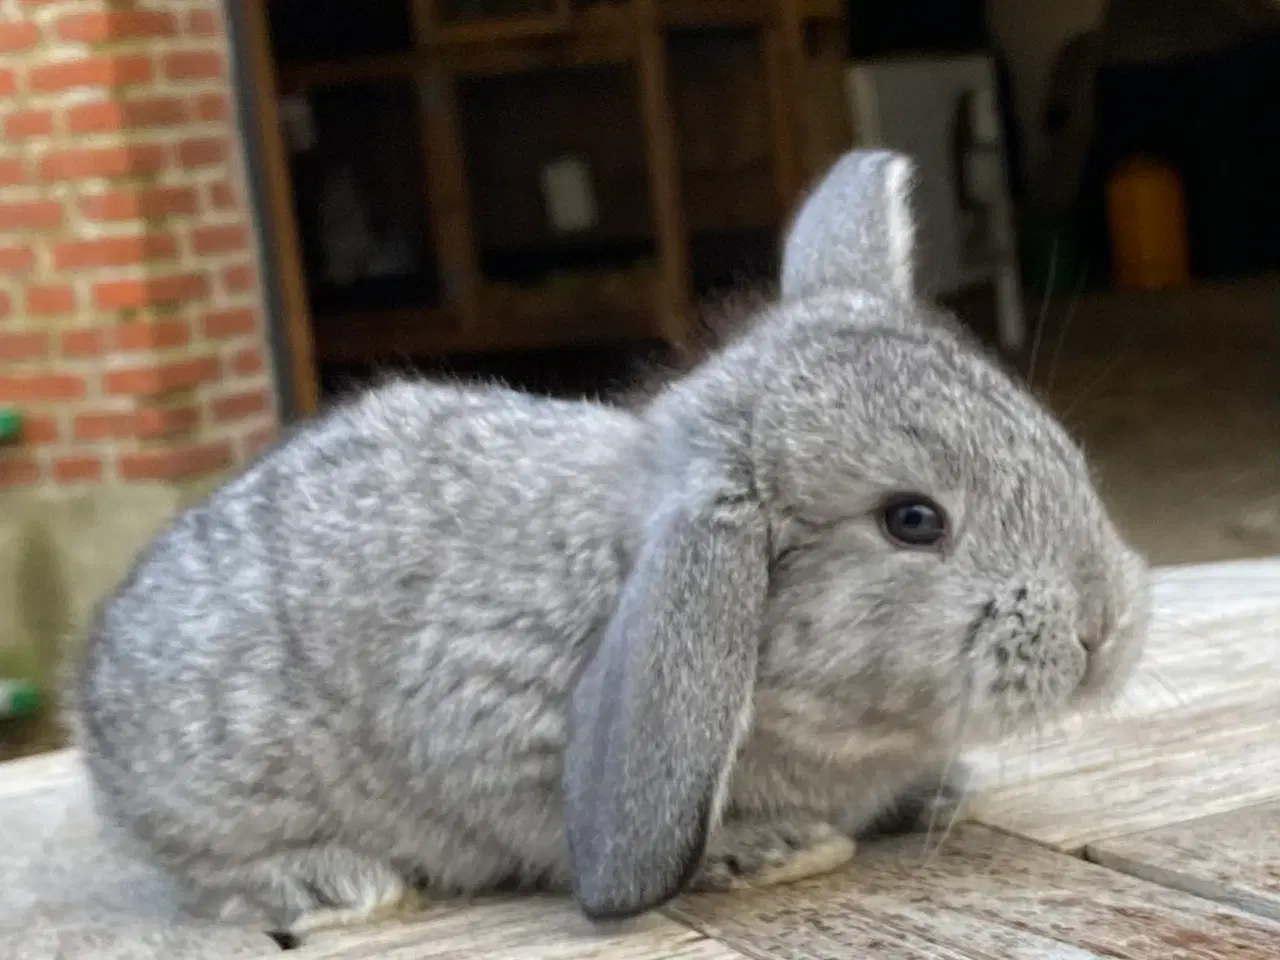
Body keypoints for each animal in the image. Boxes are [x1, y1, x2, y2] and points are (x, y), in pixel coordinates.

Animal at [70, 150, 1152, 942]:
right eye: (911, 520)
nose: (1104, 629)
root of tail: (98, 682)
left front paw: (939, 790)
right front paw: (774, 848)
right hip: (217, 800)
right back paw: (338, 887)